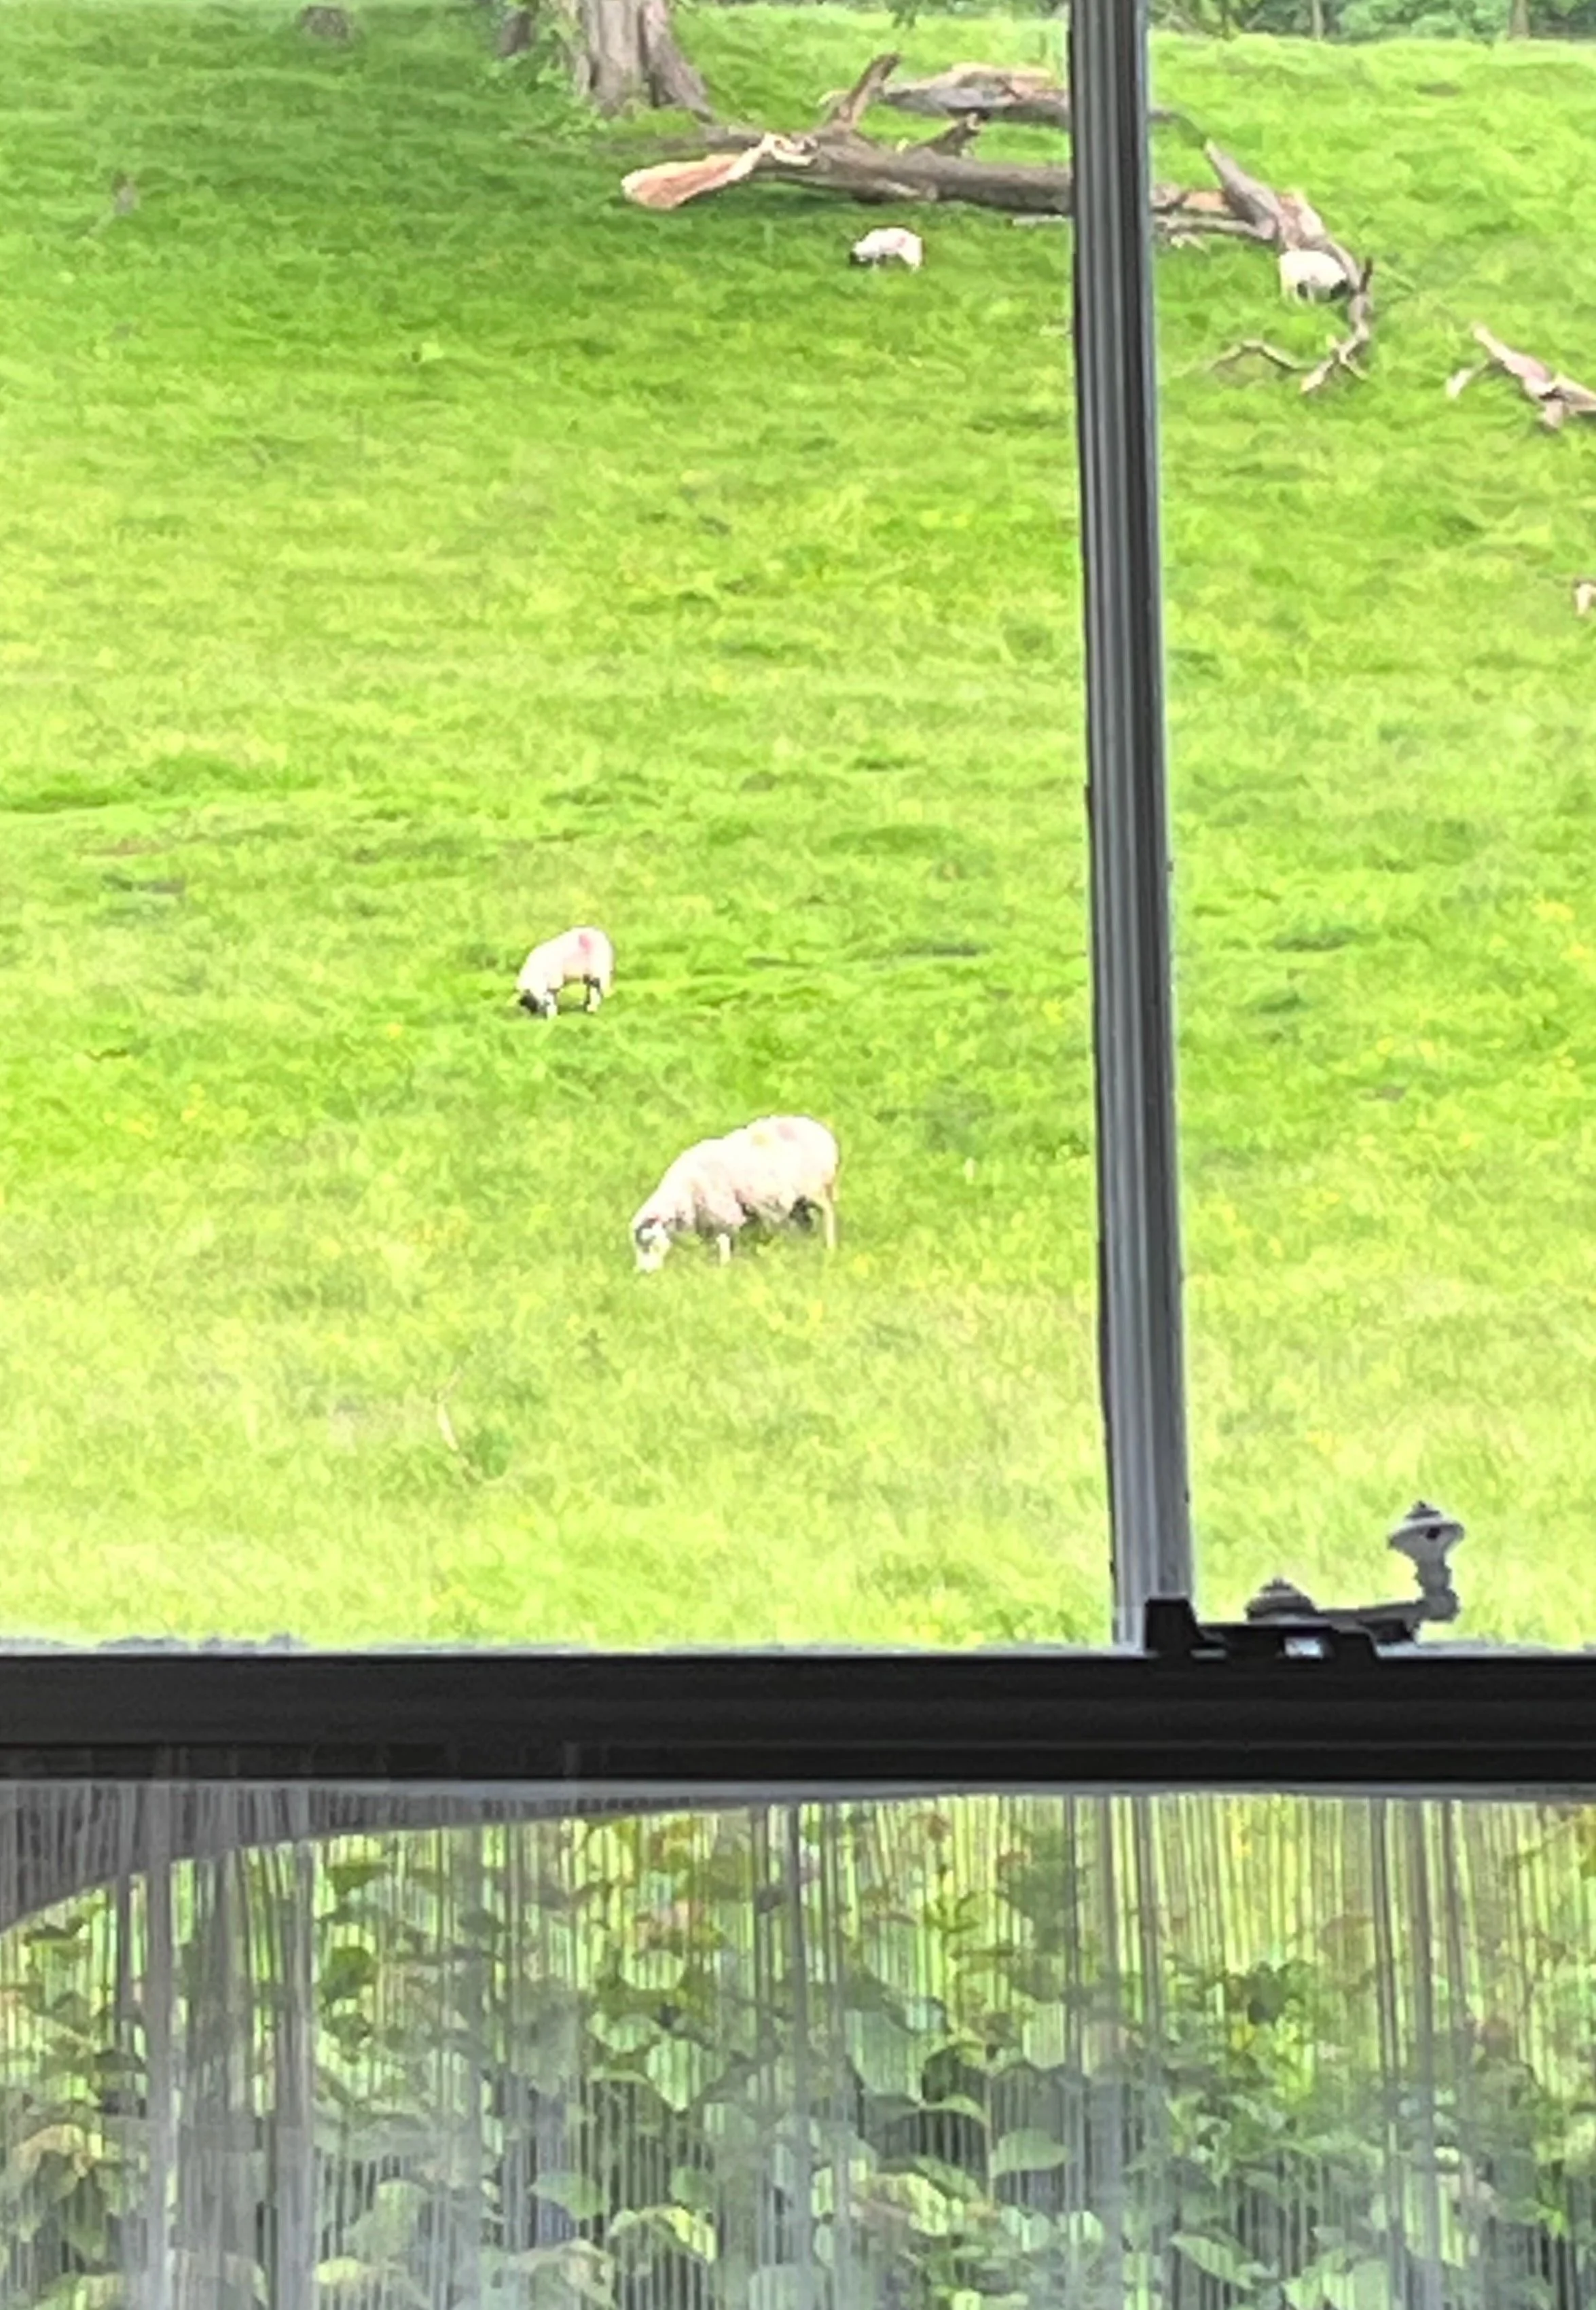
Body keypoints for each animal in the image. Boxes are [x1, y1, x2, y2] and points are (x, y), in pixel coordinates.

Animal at [515, 926, 614, 1019]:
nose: (531, 1016)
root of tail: (599, 934)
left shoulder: (553, 983)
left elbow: (552, 998)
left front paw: (553, 1017)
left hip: (598, 968)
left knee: (596, 988)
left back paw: (592, 1009)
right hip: (588, 974)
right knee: (590, 987)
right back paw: (586, 1005)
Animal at [630, 1115, 841, 1272]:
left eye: (648, 1243)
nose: (644, 1273)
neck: (685, 1191)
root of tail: (823, 1133)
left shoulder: (725, 1213)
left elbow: (724, 1243)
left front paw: (725, 1268)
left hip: (815, 1188)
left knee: (828, 1212)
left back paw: (830, 1247)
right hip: (798, 1201)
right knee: (807, 1222)